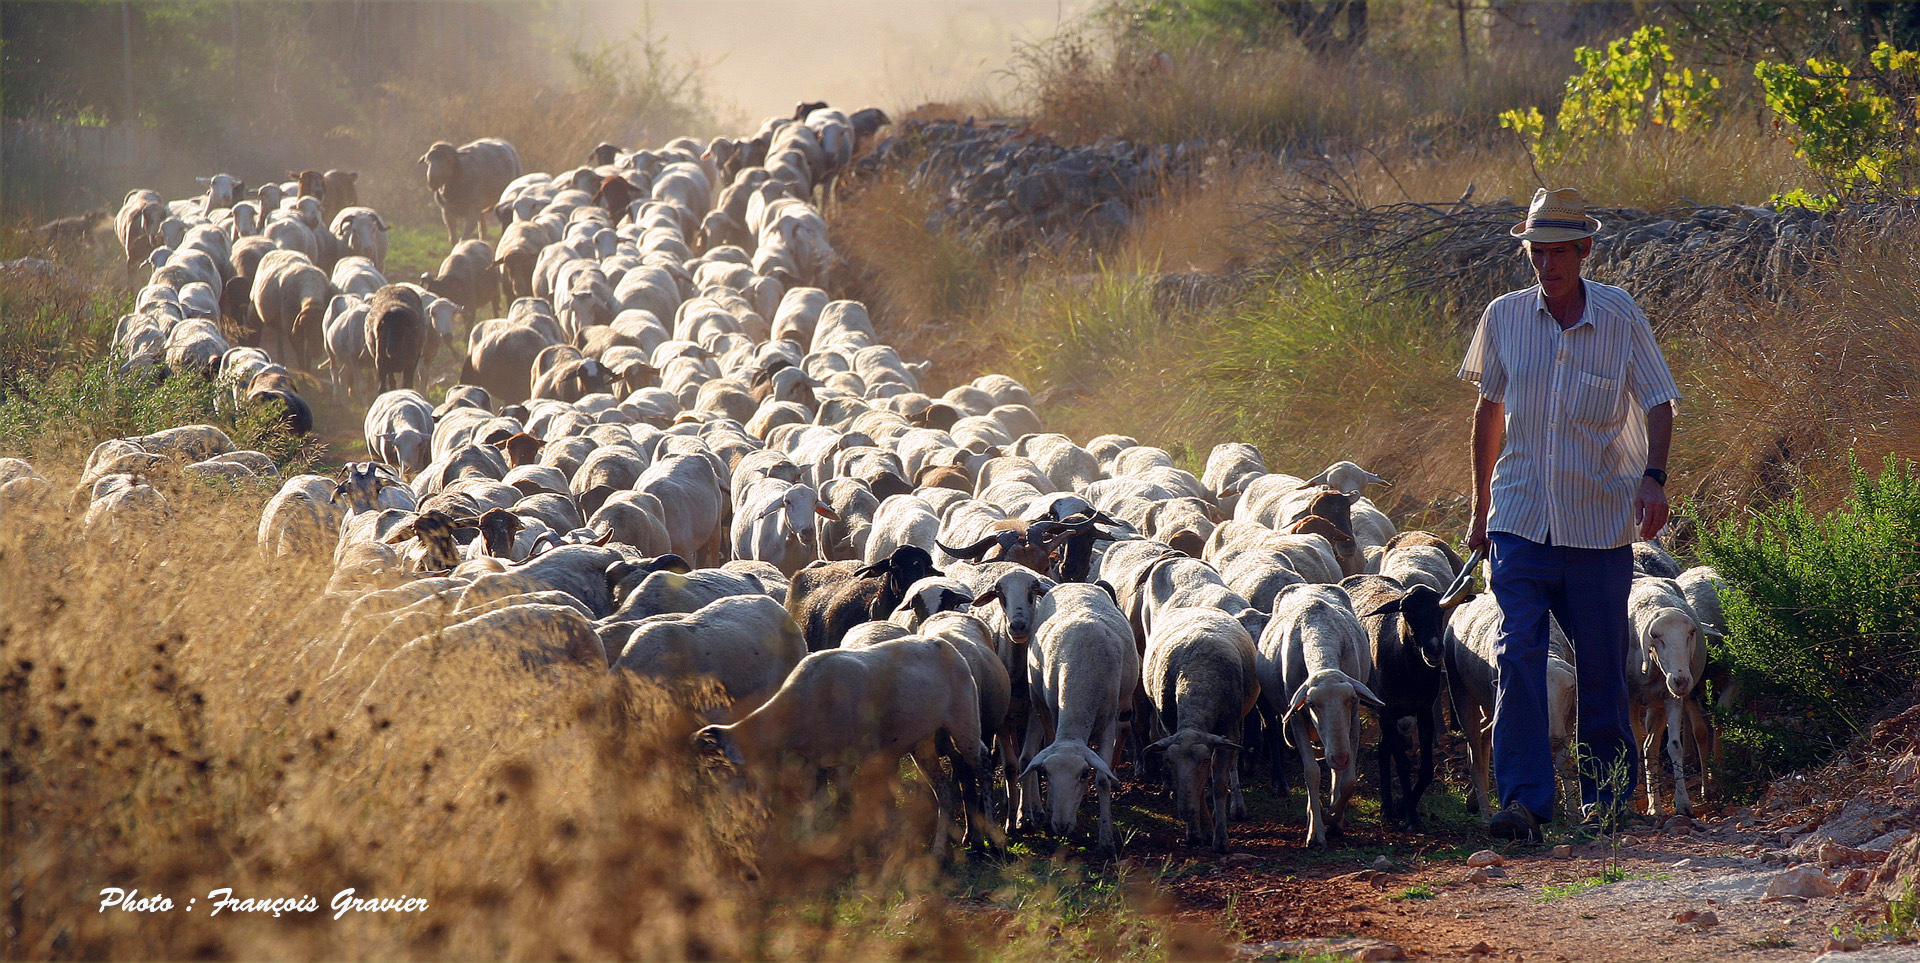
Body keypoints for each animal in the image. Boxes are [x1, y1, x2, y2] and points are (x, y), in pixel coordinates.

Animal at [695, 636, 990, 855]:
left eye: (717, 771)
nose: (723, 828)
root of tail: (946, 645)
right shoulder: (813, 760)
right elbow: (814, 803)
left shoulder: (867, 753)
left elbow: (873, 802)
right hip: (921, 739)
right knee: (945, 789)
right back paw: (938, 851)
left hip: (964, 717)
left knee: (983, 761)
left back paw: (990, 837)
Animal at [1021, 579, 1136, 851]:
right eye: (1046, 773)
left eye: (1084, 774)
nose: (1061, 826)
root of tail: (1075, 583)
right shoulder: (1055, 712)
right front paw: (1049, 812)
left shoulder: (1109, 720)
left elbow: (1103, 779)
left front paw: (1106, 840)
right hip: (1038, 700)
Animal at [1136, 610, 1259, 851]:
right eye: (1169, 761)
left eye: (1203, 760)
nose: (1184, 811)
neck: (1197, 680)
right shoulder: (1171, 728)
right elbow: (1199, 788)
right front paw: (1197, 831)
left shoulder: (1228, 732)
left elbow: (1219, 784)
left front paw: (1220, 839)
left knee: (1233, 764)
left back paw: (1237, 805)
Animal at [1259, 579, 1382, 844]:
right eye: (1312, 704)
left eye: (1351, 699)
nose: (1341, 756)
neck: (1319, 635)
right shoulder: (1296, 719)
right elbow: (1312, 773)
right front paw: (1316, 830)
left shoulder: (1352, 720)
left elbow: (1348, 781)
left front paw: (1332, 816)